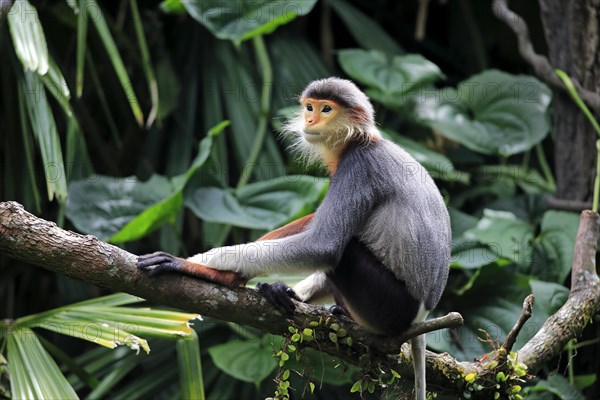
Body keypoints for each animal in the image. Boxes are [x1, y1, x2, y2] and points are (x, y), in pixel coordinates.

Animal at [138, 76, 450, 398]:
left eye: (326, 109)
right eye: (310, 107)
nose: (310, 119)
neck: (360, 140)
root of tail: (422, 315)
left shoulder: (358, 166)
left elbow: (324, 247)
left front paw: (196, 263)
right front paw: (274, 288)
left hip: (388, 308)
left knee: (344, 251)